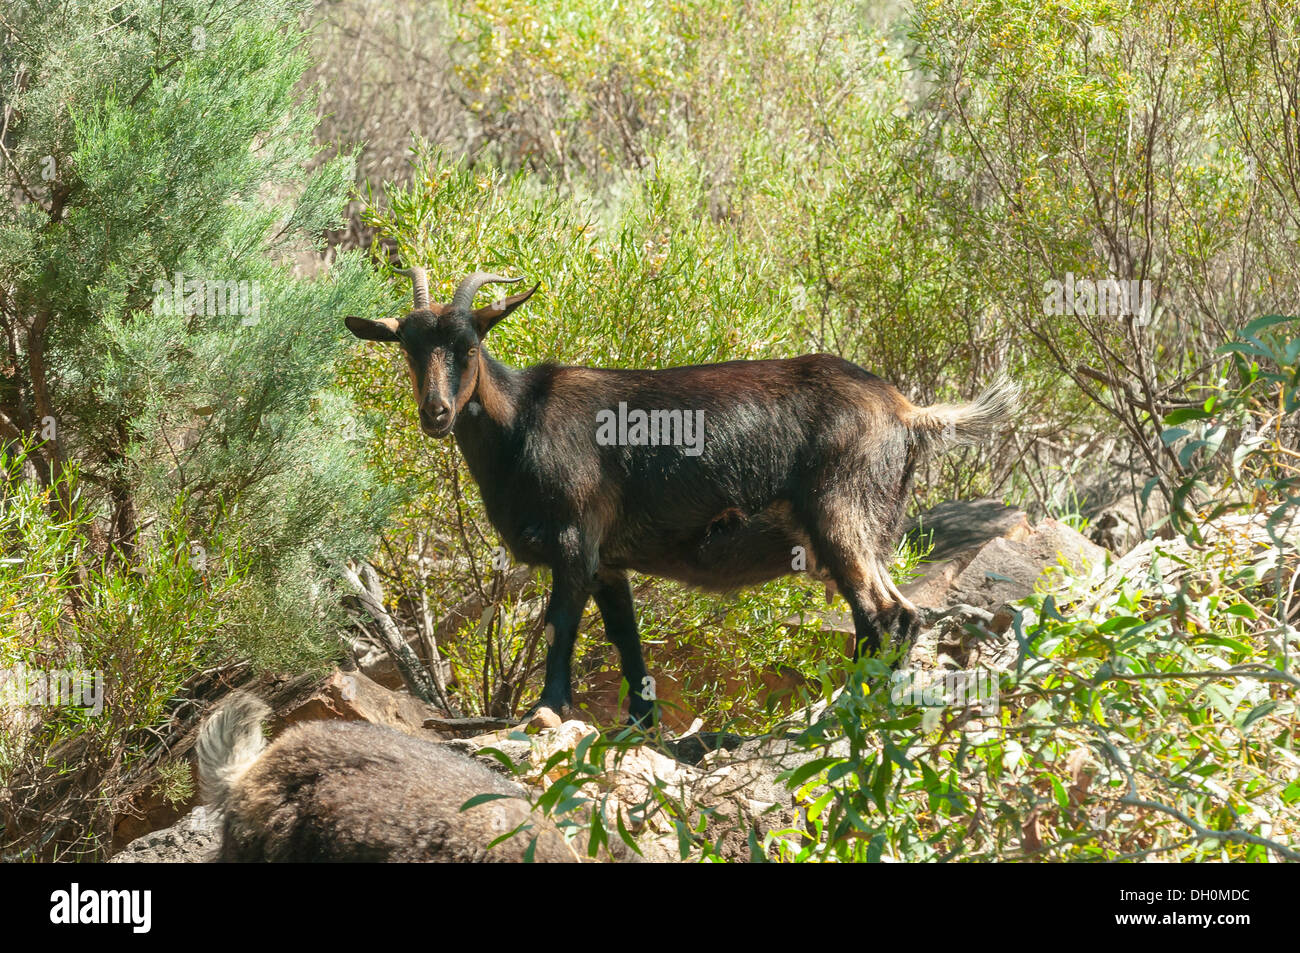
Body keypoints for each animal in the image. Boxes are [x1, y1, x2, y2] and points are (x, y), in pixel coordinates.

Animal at [345, 269, 1016, 725]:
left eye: (469, 345)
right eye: (408, 347)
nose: (435, 413)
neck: (522, 423)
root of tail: (905, 410)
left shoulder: (574, 541)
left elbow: (560, 626)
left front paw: (547, 708)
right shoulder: (608, 563)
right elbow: (627, 643)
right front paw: (644, 728)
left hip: (839, 514)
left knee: (885, 613)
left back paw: (854, 707)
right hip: (867, 527)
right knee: (894, 613)